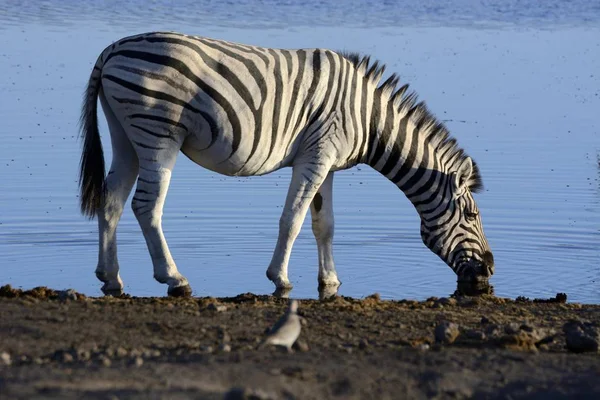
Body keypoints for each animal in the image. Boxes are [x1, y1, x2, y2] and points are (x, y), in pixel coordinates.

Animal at [78, 31, 492, 296]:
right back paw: (173, 278)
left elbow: (324, 225)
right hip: (157, 132)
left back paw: (109, 276)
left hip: (125, 134)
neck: (369, 119)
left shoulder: (326, 163)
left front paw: (330, 280)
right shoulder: (316, 155)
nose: (489, 271)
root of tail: (111, 49)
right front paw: (280, 278)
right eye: (471, 216)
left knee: (112, 199)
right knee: (146, 205)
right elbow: (292, 219)